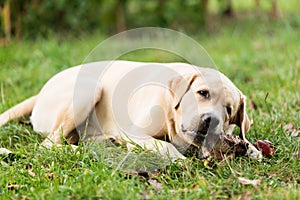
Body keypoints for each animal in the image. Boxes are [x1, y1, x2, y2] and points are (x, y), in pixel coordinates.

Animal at [0, 60, 262, 159]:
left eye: (229, 110)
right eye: (203, 93)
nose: (211, 120)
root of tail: (41, 91)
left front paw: (252, 149)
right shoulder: (134, 131)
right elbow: (164, 145)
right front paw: (178, 159)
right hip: (88, 88)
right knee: (49, 145)